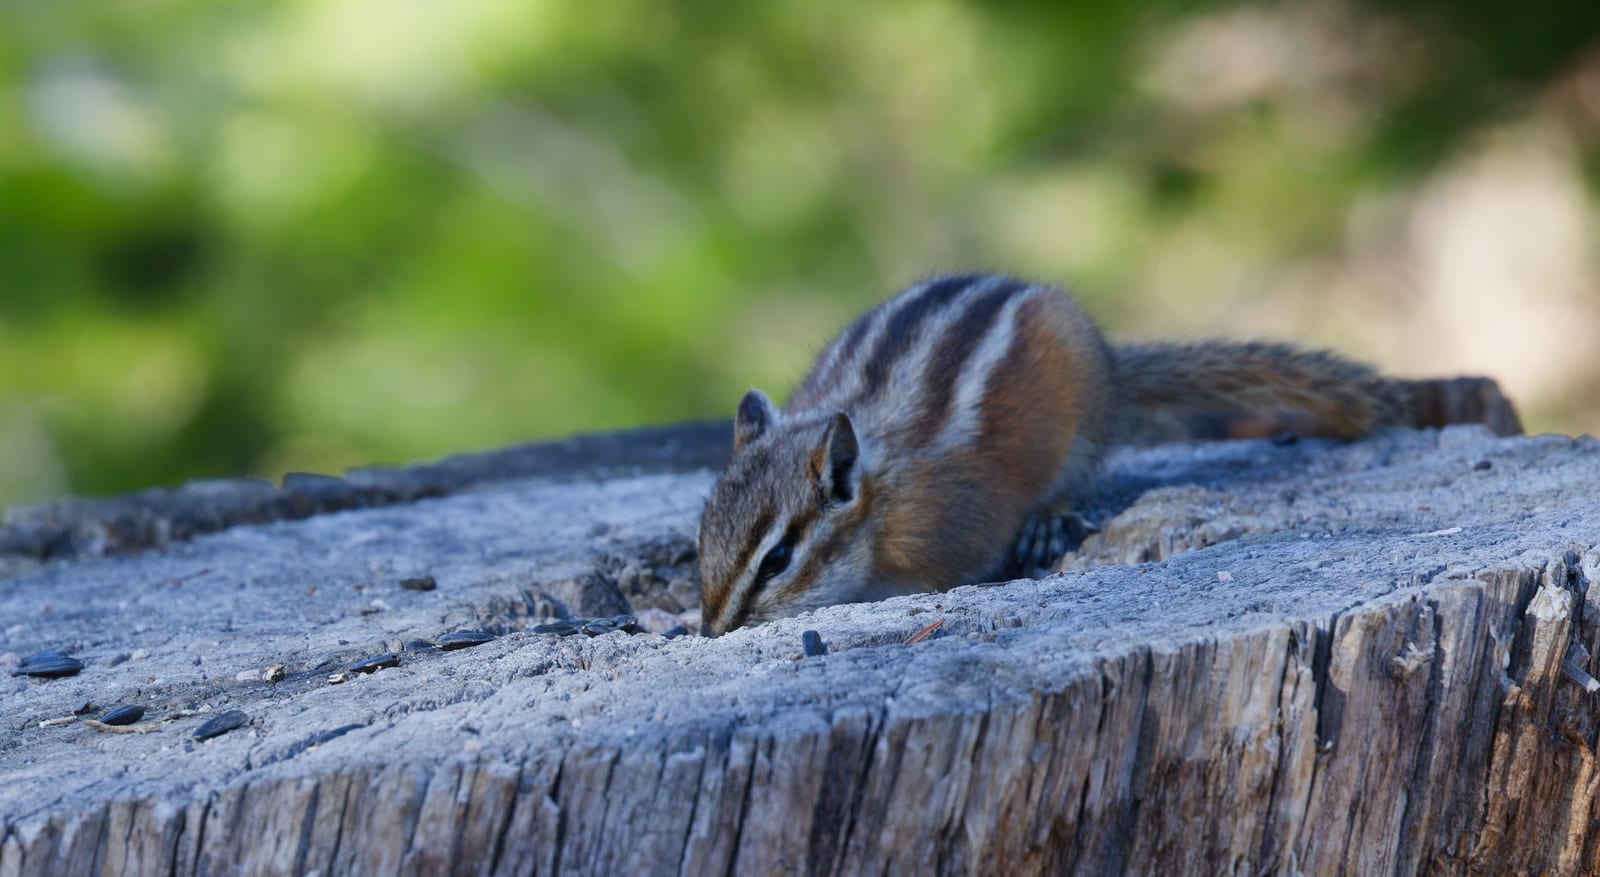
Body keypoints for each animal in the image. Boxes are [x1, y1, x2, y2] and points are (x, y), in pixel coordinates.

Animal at [695, 273, 1520, 636]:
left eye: (777, 558)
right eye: (700, 543)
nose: (709, 631)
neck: (877, 494)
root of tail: (1114, 365)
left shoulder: (948, 530)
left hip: (1083, 428)